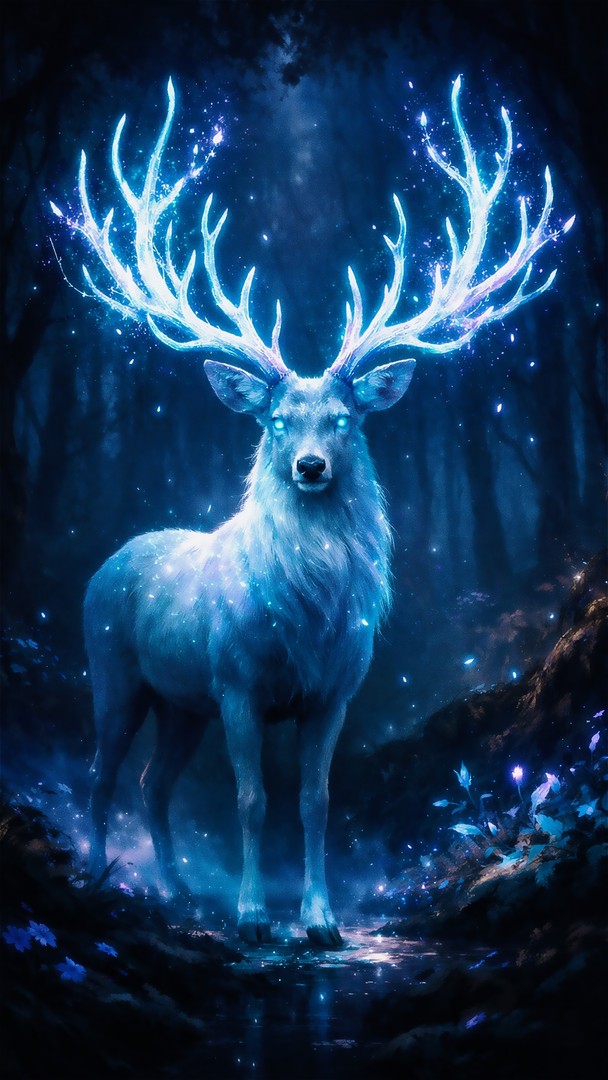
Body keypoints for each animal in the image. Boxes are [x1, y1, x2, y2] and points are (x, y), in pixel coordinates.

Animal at [58, 76, 572, 946]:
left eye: (344, 419)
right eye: (273, 420)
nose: (308, 467)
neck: (307, 615)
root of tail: (109, 558)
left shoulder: (335, 691)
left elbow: (316, 801)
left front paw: (320, 919)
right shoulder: (235, 681)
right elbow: (250, 799)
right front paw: (252, 917)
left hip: (179, 703)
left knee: (154, 785)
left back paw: (175, 889)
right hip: (115, 672)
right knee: (100, 775)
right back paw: (103, 875)